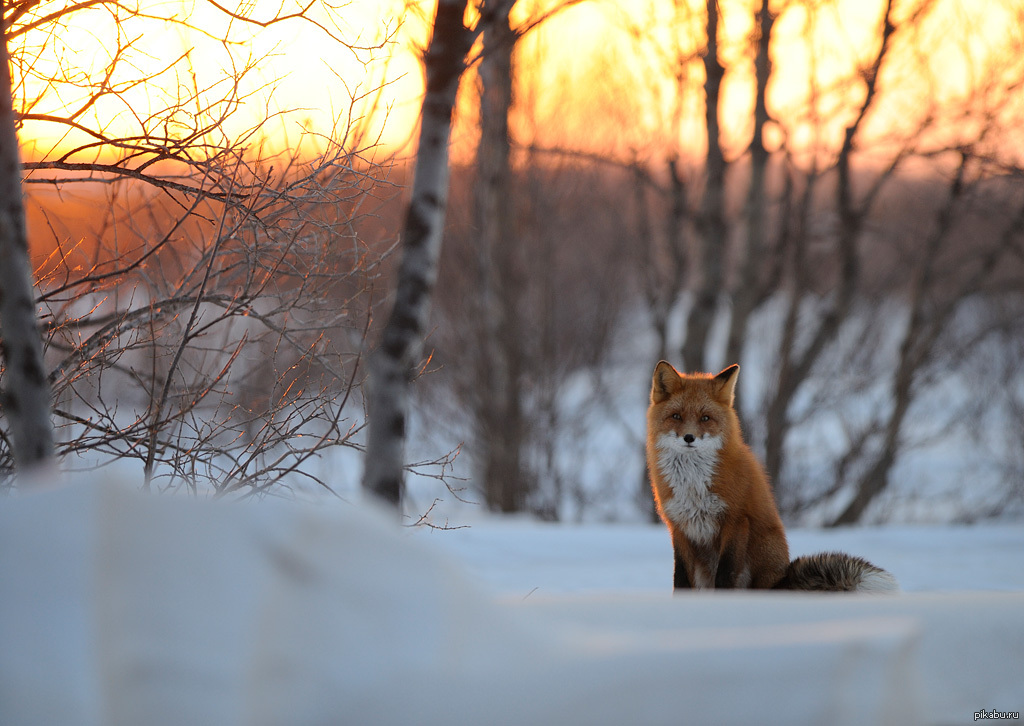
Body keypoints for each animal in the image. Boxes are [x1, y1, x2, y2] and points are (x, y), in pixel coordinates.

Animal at [647, 360, 897, 593]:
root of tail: (779, 582)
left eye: (705, 418)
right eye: (676, 416)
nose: (689, 437)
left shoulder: (736, 520)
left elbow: (725, 575)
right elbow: (680, 580)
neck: (693, 485)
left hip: (760, 550)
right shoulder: (679, 527)